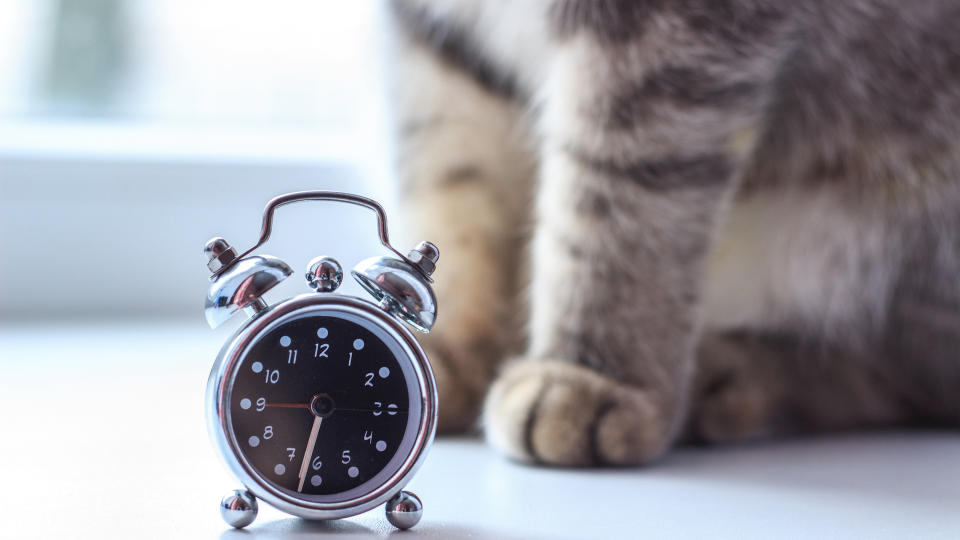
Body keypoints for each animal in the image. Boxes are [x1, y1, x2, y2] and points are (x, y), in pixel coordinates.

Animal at [386, 0, 960, 466]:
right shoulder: (440, 46)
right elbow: (456, 190)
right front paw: (440, 351)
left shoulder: (663, 35)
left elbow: (615, 207)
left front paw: (590, 372)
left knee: (904, 376)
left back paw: (727, 378)